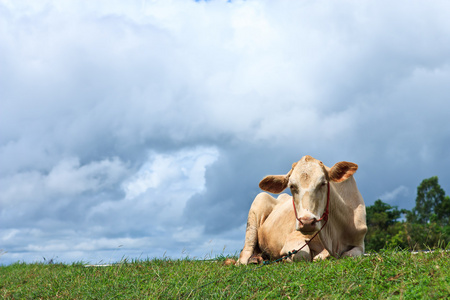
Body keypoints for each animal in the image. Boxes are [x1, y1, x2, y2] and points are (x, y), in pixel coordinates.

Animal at [237, 156, 368, 264]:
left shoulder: (359, 243)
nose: (307, 222)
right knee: (244, 256)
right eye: (291, 186)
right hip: (259, 202)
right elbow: (302, 254)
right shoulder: (293, 239)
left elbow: (350, 254)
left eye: (323, 183)